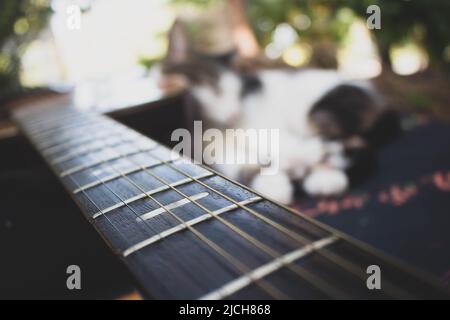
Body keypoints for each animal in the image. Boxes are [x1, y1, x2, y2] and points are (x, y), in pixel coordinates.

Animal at [156, 20, 398, 204]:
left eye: (238, 94)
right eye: (216, 90)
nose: (234, 113)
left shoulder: (262, 127)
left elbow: (277, 141)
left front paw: (301, 160)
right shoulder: (218, 154)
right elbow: (240, 168)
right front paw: (273, 183)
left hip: (320, 109)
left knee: (356, 143)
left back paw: (325, 173)